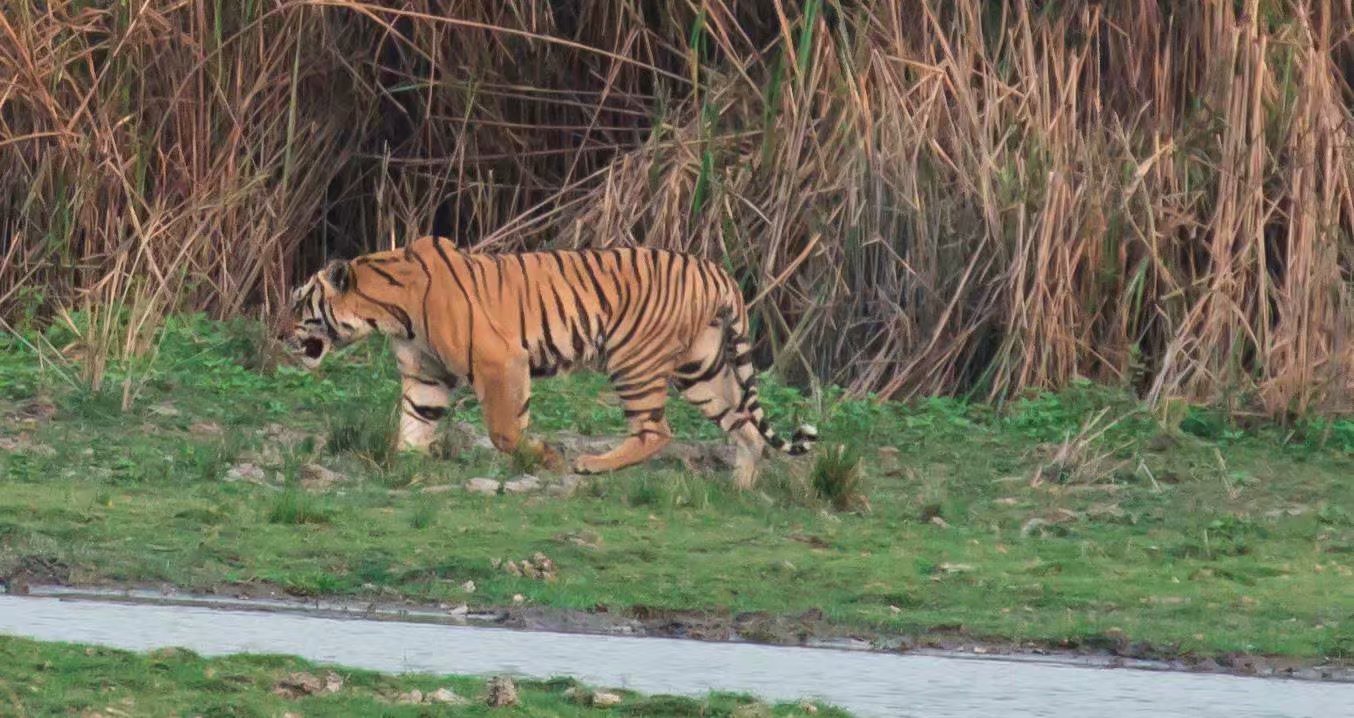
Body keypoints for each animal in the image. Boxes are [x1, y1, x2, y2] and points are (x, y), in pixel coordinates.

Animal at [277, 234, 812, 484]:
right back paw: (740, 488)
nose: (278, 334)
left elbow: (504, 430)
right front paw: (400, 463)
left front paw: (548, 458)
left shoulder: (499, 360)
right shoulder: (427, 374)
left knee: (656, 430)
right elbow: (413, 423)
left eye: (299, 303)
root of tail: (716, 270)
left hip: (634, 360)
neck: (390, 311)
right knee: (745, 427)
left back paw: (591, 465)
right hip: (700, 368)